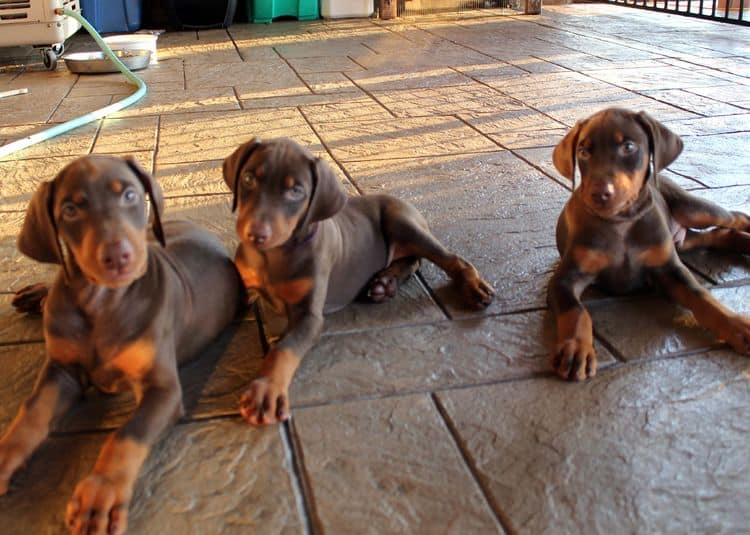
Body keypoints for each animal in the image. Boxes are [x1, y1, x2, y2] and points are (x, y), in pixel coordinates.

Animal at [0, 155, 242, 535]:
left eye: (129, 194)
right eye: (70, 209)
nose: (118, 256)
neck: (100, 302)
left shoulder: (162, 388)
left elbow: (126, 435)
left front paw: (101, 493)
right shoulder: (62, 370)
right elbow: (33, 410)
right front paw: (6, 454)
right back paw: (36, 294)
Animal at [220, 138, 496, 428]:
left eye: (296, 191)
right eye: (248, 178)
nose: (255, 234)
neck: (274, 254)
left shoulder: (310, 316)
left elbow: (284, 348)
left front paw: (267, 389)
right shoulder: (245, 285)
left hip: (402, 222)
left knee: (445, 258)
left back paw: (473, 288)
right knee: (412, 260)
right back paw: (385, 283)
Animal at [548, 108, 750, 382]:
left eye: (628, 147)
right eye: (583, 152)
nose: (599, 194)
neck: (621, 223)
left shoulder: (669, 268)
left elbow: (701, 296)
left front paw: (738, 326)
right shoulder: (566, 278)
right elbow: (576, 312)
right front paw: (576, 347)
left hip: (693, 210)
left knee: (735, 217)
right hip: (682, 242)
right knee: (718, 235)